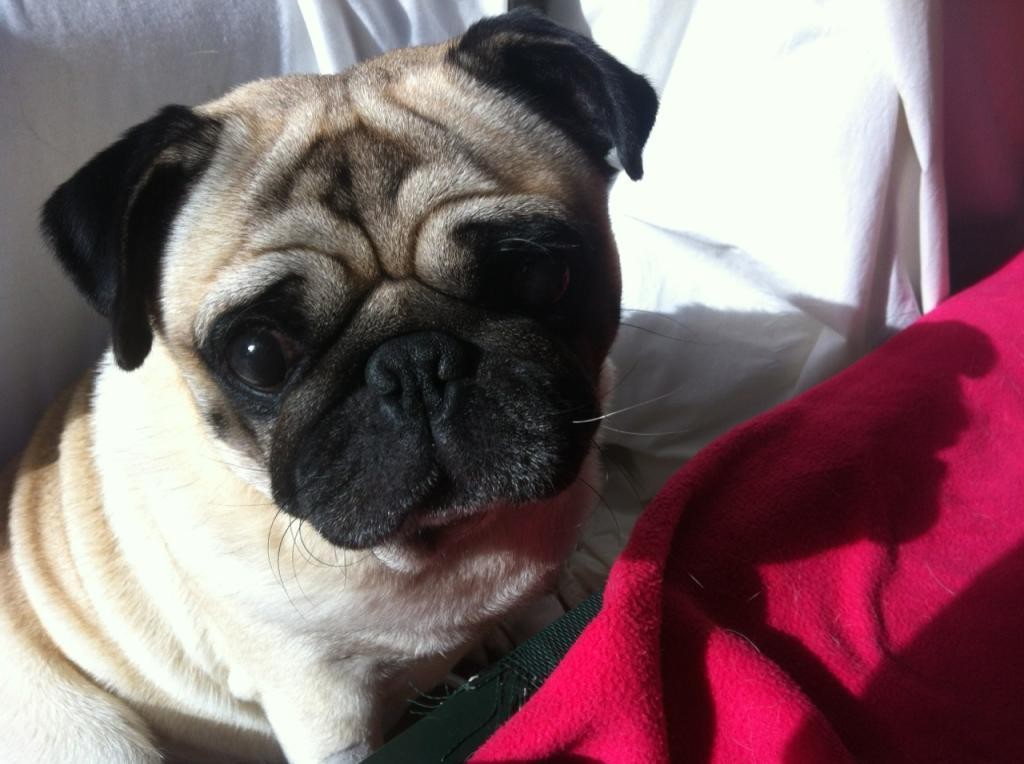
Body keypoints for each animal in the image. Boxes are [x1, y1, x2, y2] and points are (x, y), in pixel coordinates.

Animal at [0, 10, 657, 763]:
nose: (414, 363)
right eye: (257, 355)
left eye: (541, 278)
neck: (435, 550)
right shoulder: (324, 714)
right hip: (96, 737)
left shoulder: (533, 599)